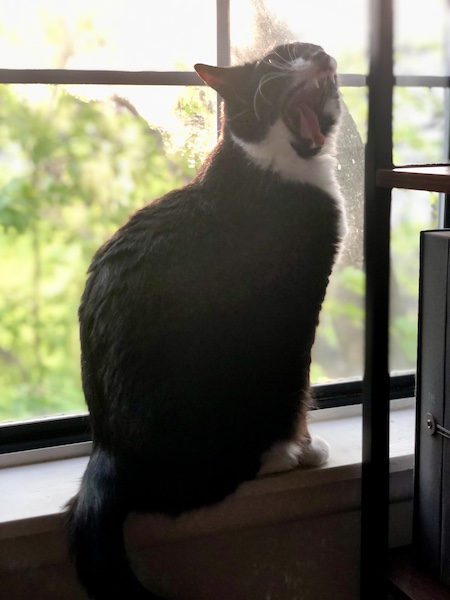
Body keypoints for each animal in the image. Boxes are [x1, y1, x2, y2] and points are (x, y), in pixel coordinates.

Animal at [67, 42, 346, 600]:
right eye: (284, 57)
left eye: (312, 50)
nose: (322, 53)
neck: (273, 164)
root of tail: (107, 450)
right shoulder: (293, 309)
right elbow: (297, 389)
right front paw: (301, 447)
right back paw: (274, 460)